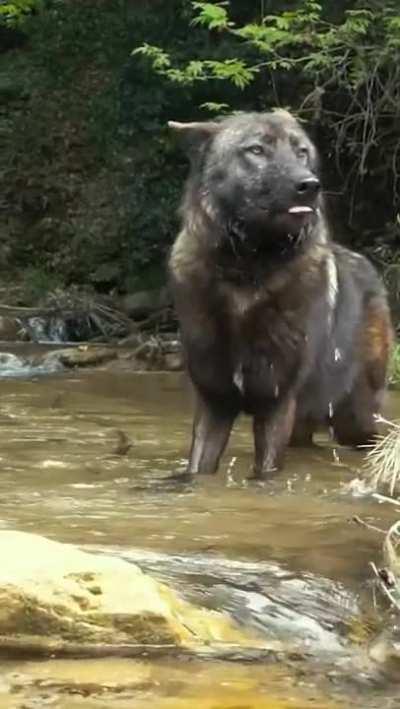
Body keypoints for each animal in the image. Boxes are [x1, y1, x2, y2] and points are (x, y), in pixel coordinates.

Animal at [168, 111, 393, 479]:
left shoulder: (276, 403)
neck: (246, 276)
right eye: (256, 150)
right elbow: (197, 470)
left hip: (354, 419)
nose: (310, 185)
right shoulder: (215, 403)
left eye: (301, 152)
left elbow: (266, 474)